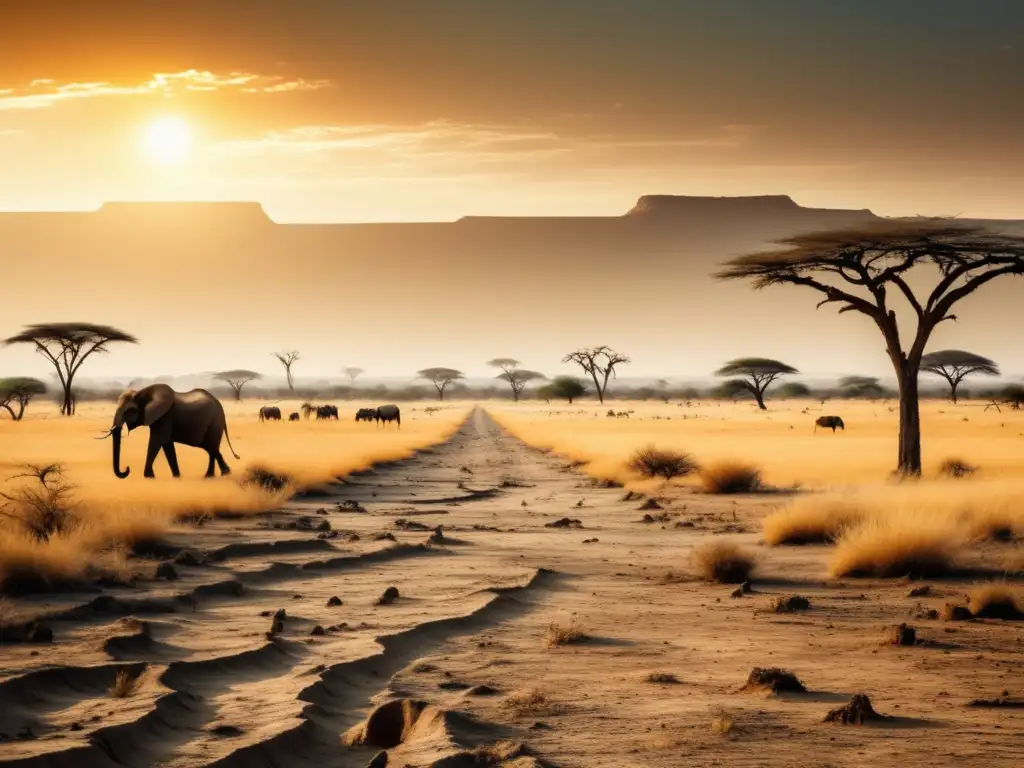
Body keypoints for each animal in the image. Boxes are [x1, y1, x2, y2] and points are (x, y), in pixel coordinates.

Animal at [103, 385, 239, 481]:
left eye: (130, 411)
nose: (127, 468)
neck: (144, 392)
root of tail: (219, 404)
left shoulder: (164, 418)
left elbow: (156, 442)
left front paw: (149, 477)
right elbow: (167, 445)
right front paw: (177, 477)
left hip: (215, 423)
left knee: (212, 447)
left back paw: (217, 475)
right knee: (211, 449)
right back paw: (219, 474)